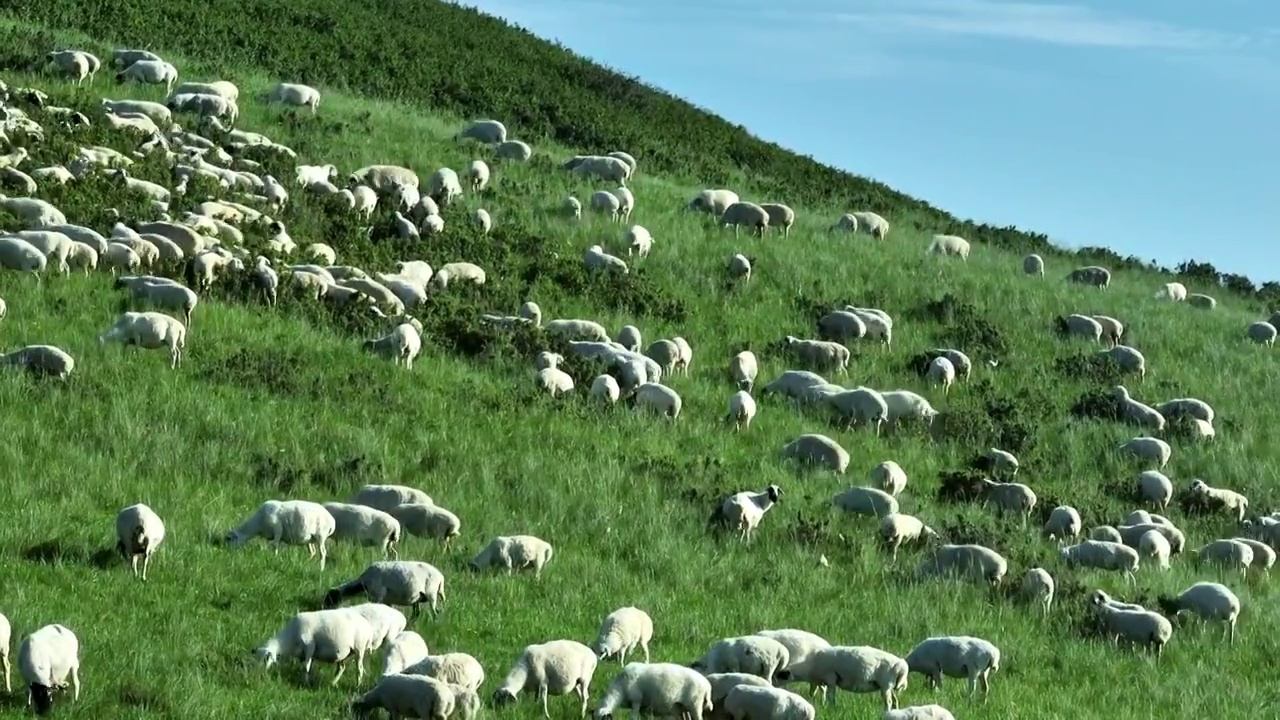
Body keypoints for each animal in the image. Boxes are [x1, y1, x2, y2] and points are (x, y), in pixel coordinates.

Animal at [778, 645, 911, 707]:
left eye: (779, 676)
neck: (810, 666)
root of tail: (901, 666)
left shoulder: (831, 678)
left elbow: (831, 696)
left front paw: (831, 707)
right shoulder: (819, 681)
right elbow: (814, 692)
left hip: (886, 684)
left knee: (888, 702)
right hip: (890, 686)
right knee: (895, 701)